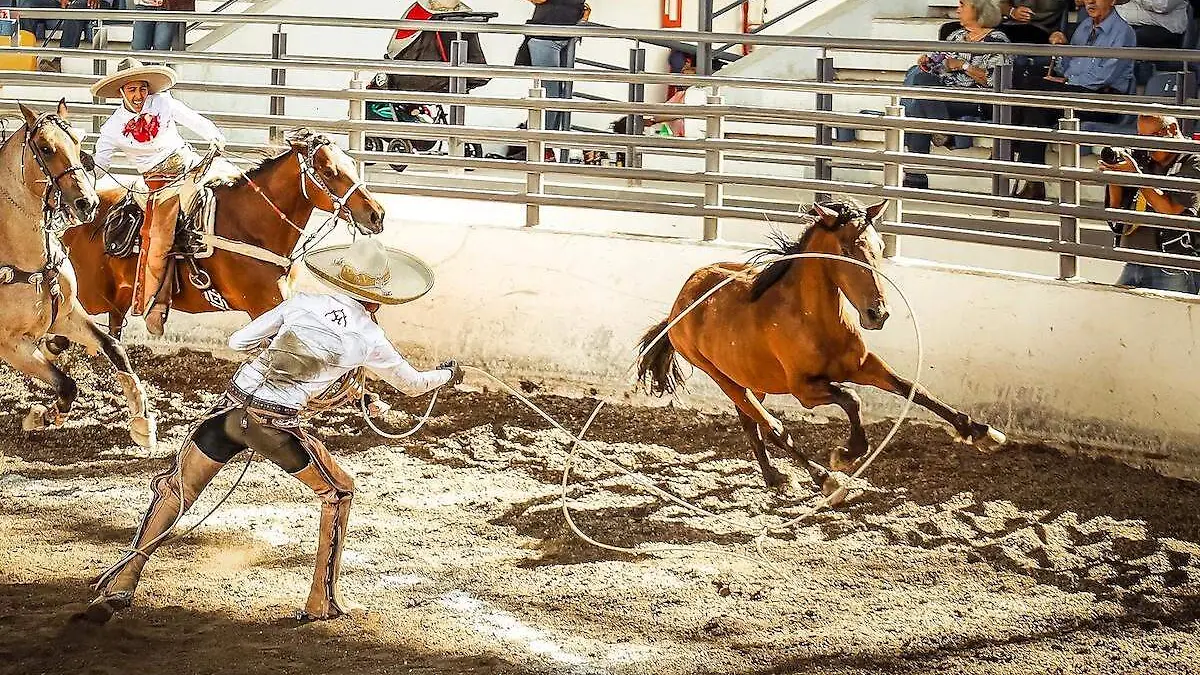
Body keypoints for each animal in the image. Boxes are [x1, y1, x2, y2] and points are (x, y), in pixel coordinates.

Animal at [0, 100, 154, 446]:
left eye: (77, 142)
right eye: (45, 148)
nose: (88, 202)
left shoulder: (68, 315)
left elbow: (114, 347)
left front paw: (142, 420)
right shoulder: (12, 345)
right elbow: (66, 384)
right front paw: (41, 416)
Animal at [60, 127, 384, 333]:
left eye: (351, 162)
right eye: (329, 171)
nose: (376, 214)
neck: (252, 227)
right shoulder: (263, 308)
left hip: (118, 300)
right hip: (88, 297)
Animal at [638, 196, 1003, 497]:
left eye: (880, 245)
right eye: (846, 250)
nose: (878, 314)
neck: (814, 322)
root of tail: (679, 304)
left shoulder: (863, 364)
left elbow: (913, 388)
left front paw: (982, 432)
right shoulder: (805, 389)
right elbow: (851, 398)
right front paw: (846, 454)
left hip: (752, 378)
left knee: (750, 421)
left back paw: (773, 476)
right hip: (722, 377)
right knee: (772, 427)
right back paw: (824, 479)